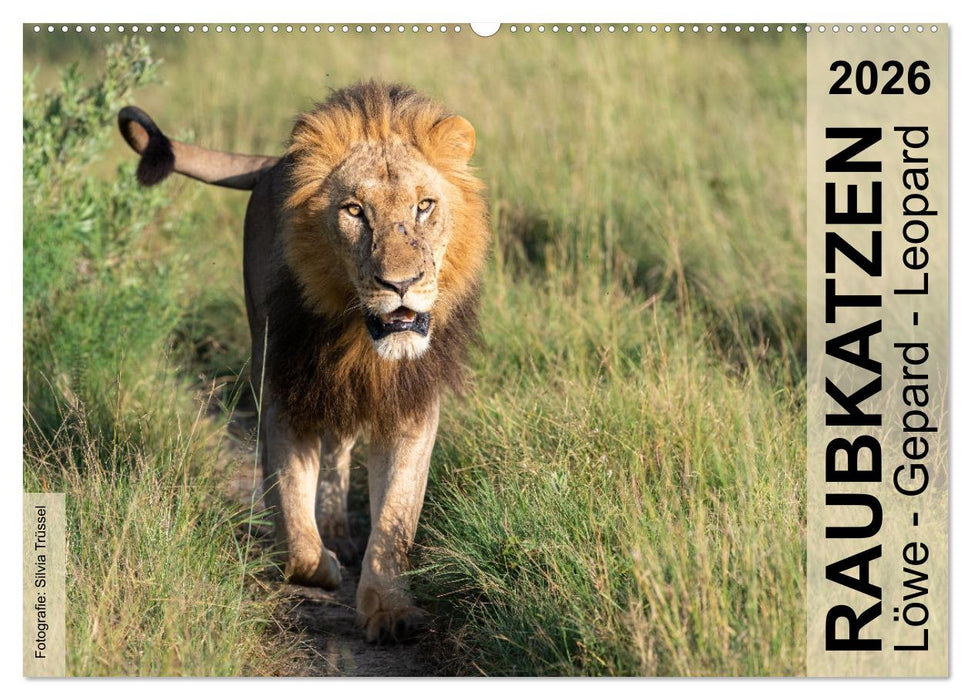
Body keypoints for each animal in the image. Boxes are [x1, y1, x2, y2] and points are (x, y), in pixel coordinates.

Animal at [117, 82, 489, 643]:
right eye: (354, 211)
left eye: (425, 206)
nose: (400, 284)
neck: (359, 339)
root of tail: (273, 164)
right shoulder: (283, 395)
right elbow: (293, 520)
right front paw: (321, 565)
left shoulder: (411, 408)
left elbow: (397, 519)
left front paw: (389, 610)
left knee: (341, 445)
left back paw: (338, 526)